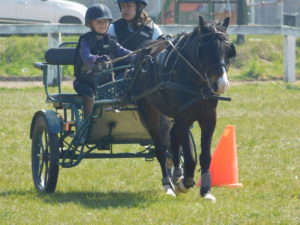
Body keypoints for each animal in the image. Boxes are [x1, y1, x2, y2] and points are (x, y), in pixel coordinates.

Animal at [130, 16, 236, 200]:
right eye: (205, 50)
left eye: (228, 50)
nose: (222, 84)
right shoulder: (183, 118)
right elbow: (189, 157)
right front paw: (185, 183)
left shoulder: (209, 118)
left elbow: (205, 156)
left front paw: (206, 190)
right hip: (151, 113)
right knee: (160, 148)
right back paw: (168, 184)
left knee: (173, 138)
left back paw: (177, 174)